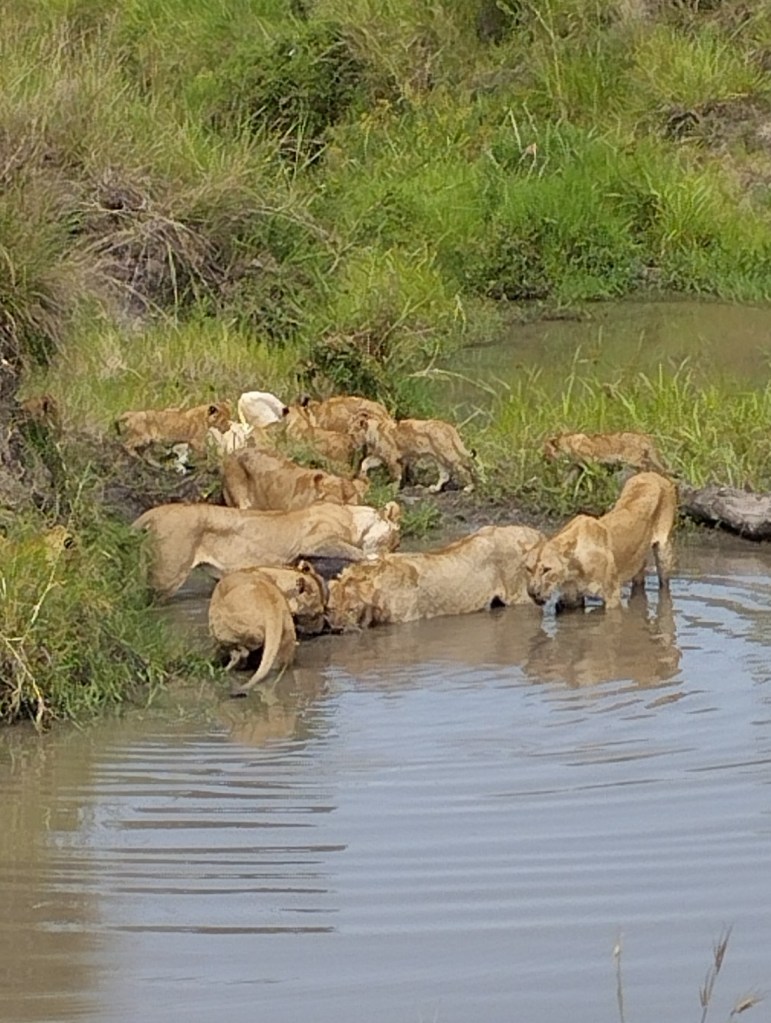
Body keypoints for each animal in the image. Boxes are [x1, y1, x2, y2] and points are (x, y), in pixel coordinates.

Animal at [132, 500, 402, 598]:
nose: (393, 550)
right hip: (168, 572)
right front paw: (373, 557)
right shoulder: (315, 540)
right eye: (394, 541)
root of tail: (154, 512)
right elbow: (354, 551)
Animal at [326, 523, 544, 631]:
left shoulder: (408, 621)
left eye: (352, 609)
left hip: (521, 597)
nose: (336, 628)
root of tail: (534, 533)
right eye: (331, 608)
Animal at [524, 471, 677, 610]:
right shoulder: (572, 598)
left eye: (547, 570)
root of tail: (652, 474)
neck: (572, 569)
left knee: (664, 584)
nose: (532, 593)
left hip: (663, 550)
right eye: (528, 569)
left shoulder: (612, 597)